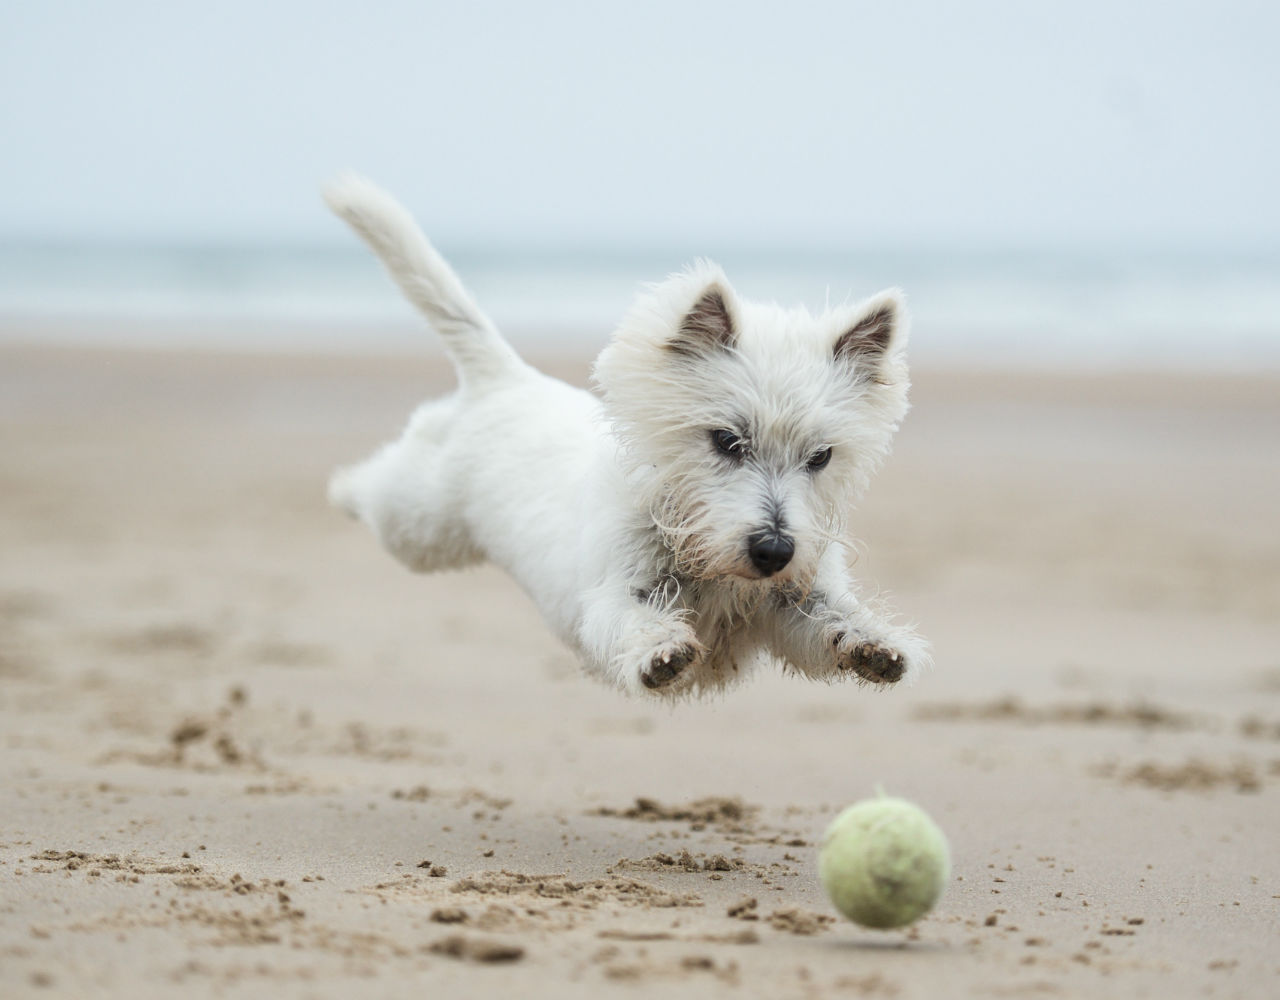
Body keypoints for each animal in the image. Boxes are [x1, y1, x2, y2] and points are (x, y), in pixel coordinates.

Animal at [325, 177, 936, 696]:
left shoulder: (794, 600)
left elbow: (831, 620)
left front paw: (877, 645)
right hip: (420, 524)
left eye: (821, 456)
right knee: (378, 488)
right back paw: (340, 488)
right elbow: (631, 620)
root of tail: (508, 377)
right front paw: (660, 652)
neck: (702, 556)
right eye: (726, 441)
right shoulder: (613, 593)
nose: (774, 550)